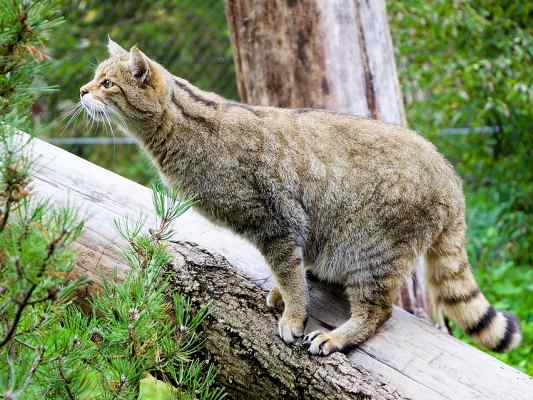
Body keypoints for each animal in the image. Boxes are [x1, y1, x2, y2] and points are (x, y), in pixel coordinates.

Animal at [79, 39, 520, 354]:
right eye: (97, 77)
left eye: (107, 83)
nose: (82, 90)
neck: (182, 128)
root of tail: (451, 178)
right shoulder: (289, 230)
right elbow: (289, 270)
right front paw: (283, 294)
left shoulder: (274, 221)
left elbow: (289, 274)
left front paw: (293, 315)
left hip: (370, 252)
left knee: (379, 310)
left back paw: (337, 336)